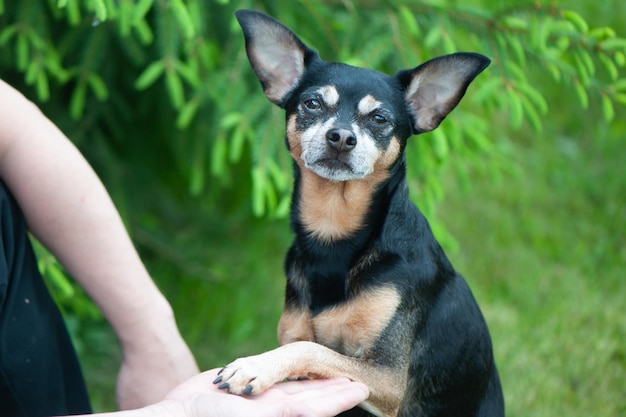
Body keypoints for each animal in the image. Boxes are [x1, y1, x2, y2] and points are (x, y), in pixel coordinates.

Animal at [213, 9, 502, 416]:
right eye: (313, 104)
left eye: (379, 118)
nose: (341, 137)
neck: (334, 236)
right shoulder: (299, 334)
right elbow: (307, 344)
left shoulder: (387, 378)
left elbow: (311, 349)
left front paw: (255, 365)